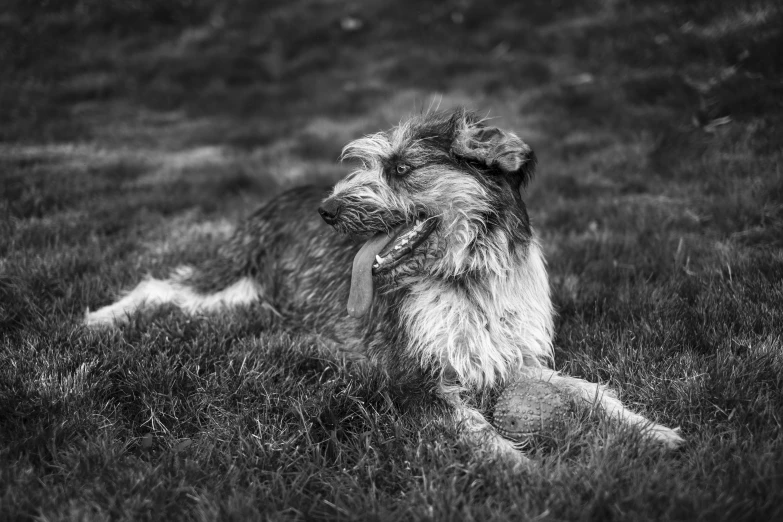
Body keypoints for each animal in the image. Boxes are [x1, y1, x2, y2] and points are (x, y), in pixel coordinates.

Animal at [87, 106, 688, 464]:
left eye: (401, 168)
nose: (328, 211)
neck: (464, 278)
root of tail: (277, 196)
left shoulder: (514, 360)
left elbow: (592, 393)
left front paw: (653, 433)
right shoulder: (417, 380)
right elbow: (482, 438)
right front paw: (533, 475)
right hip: (224, 275)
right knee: (159, 287)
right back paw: (99, 319)